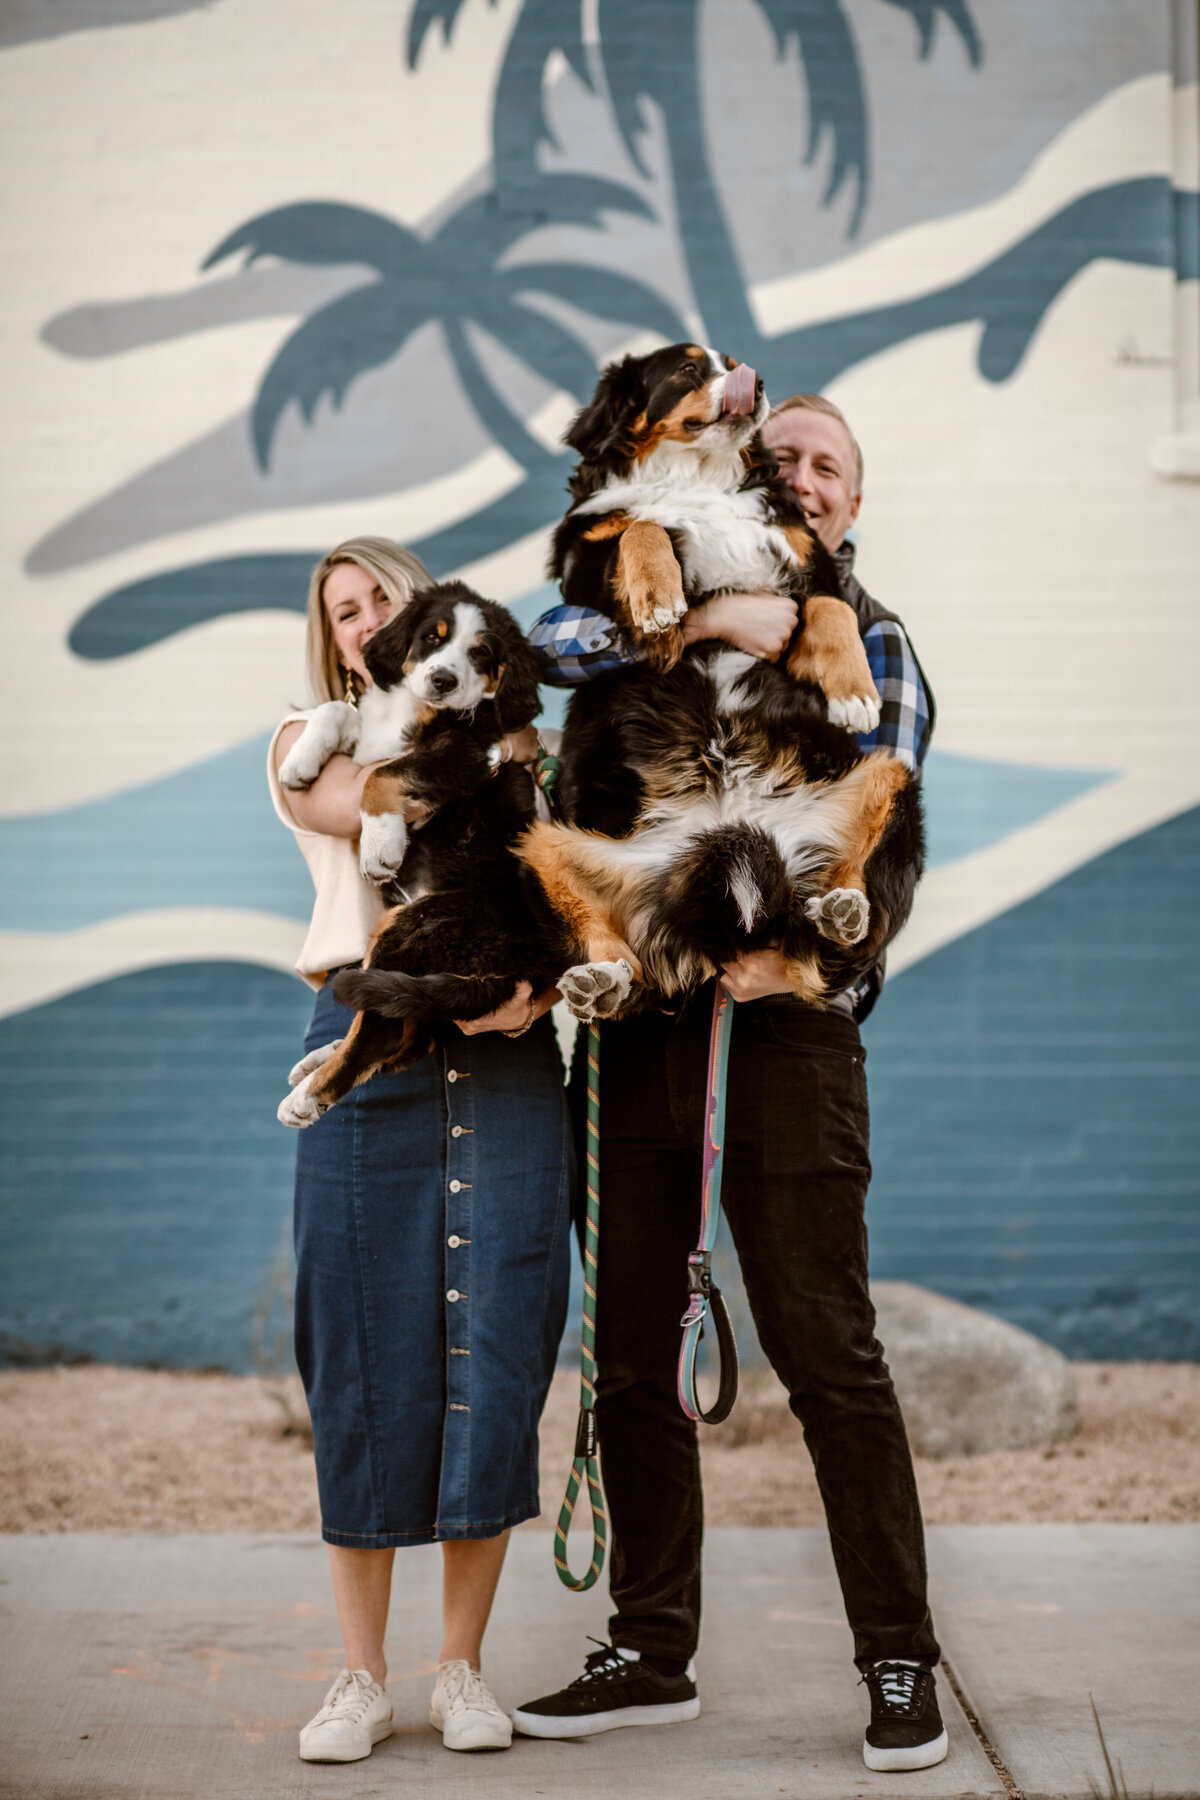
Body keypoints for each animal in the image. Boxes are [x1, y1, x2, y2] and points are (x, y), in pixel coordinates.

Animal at [278, 581, 562, 1127]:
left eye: (481, 653)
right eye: (433, 636)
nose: (443, 681)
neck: (408, 709)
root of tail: (520, 963)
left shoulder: (464, 748)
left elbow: (385, 775)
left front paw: (380, 845)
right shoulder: (373, 737)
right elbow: (340, 710)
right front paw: (299, 761)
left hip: (419, 924)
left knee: (387, 1027)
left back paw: (308, 1095)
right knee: (410, 1028)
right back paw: (318, 1061)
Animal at [517, 344, 925, 1021]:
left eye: (731, 362)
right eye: (687, 369)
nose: (752, 384)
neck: (700, 478)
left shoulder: (808, 567)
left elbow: (832, 608)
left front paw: (855, 694)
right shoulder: (584, 565)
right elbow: (642, 527)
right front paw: (658, 598)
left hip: (892, 781)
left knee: (823, 950)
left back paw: (841, 912)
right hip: (542, 842)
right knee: (625, 961)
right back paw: (600, 983)